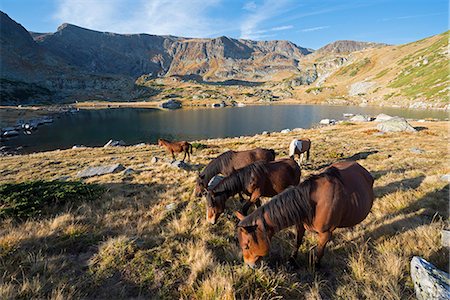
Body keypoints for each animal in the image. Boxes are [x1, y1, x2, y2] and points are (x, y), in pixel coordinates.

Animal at [236, 161, 372, 268]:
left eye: (246, 246)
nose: (248, 265)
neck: (311, 203)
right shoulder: (300, 225)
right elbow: (297, 242)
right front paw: (291, 260)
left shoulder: (325, 233)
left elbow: (319, 252)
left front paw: (316, 267)